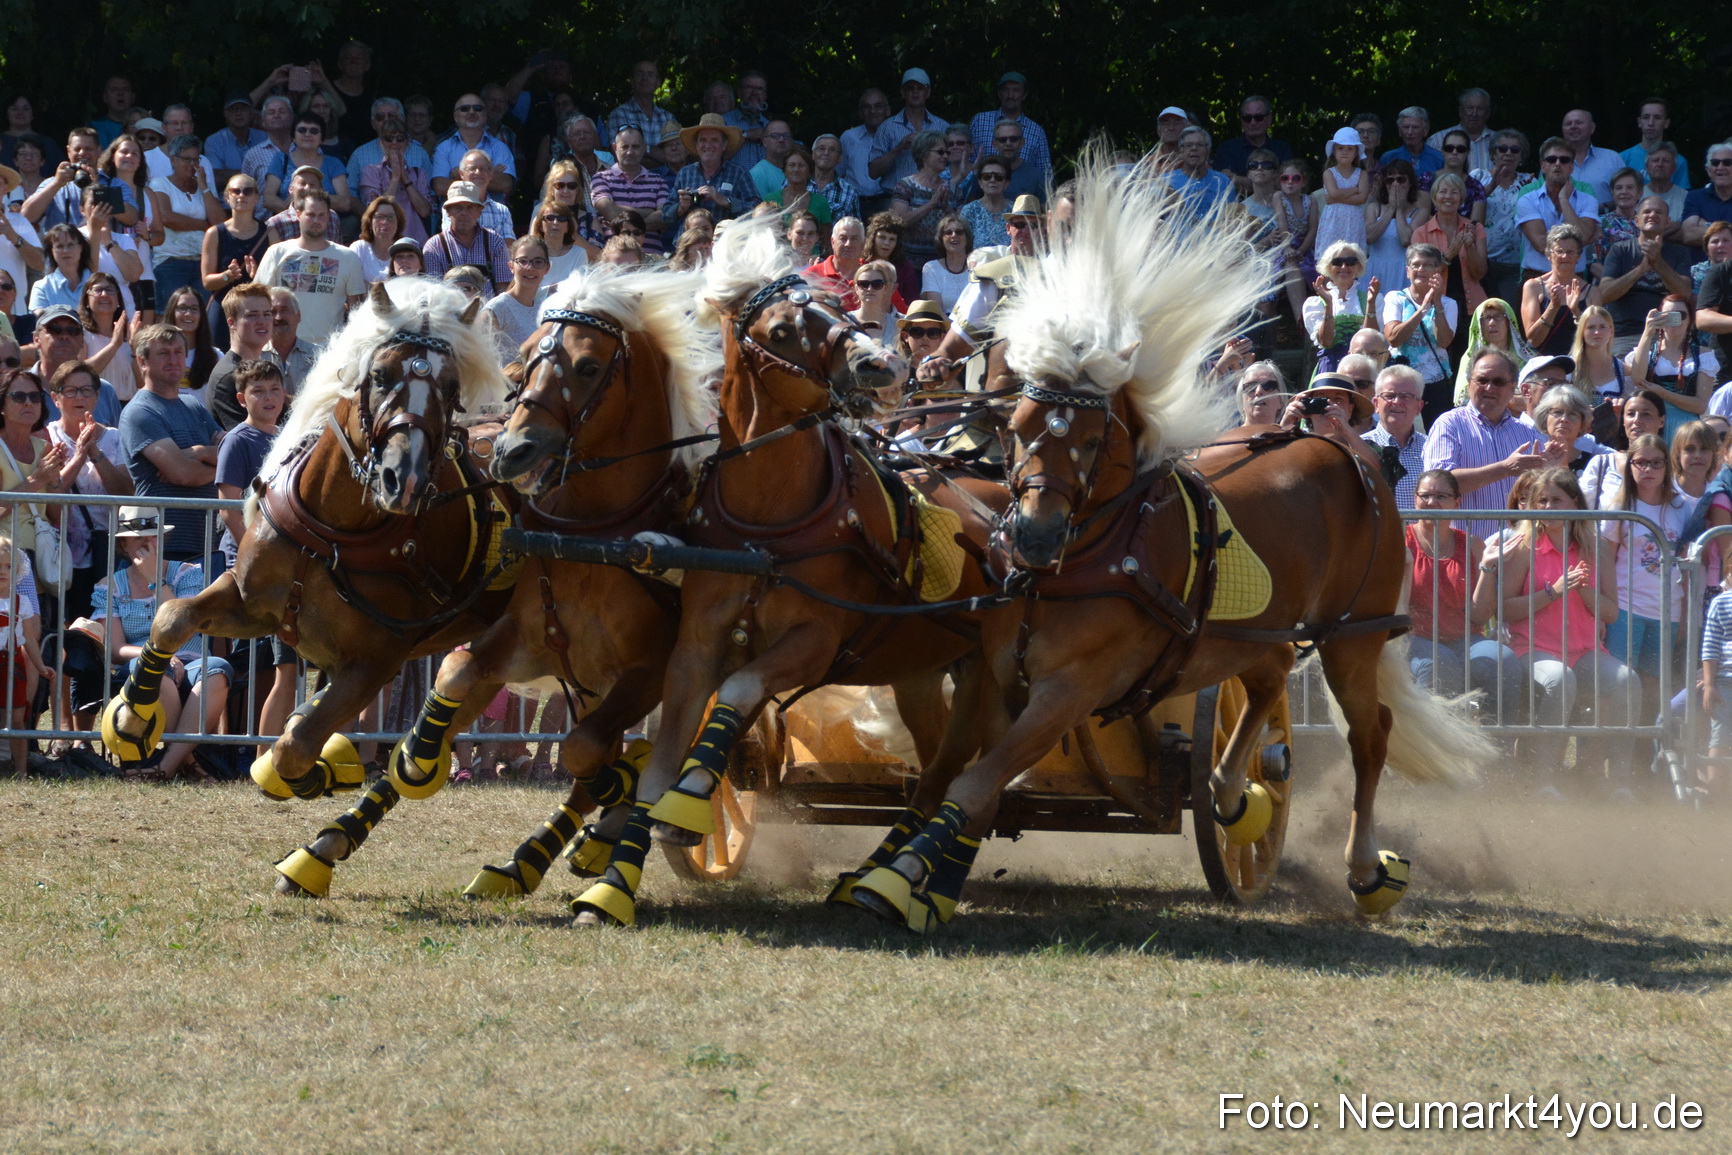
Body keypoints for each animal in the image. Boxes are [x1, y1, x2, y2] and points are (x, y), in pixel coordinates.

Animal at [101, 280, 516, 883]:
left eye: (450, 387)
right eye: (381, 375)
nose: (404, 479)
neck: (337, 530)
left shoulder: (375, 661)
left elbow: (295, 743)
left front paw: (322, 771)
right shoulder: (251, 604)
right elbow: (173, 615)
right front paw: (131, 721)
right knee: (421, 756)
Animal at [335, 266, 722, 901]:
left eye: (587, 366)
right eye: (521, 363)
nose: (510, 450)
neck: (594, 539)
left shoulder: (650, 671)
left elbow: (587, 749)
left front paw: (619, 800)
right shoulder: (523, 643)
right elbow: (455, 673)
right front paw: (420, 755)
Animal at [568, 216, 1017, 928]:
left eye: (838, 308)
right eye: (781, 330)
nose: (884, 363)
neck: (766, 524)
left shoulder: (812, 643)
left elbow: (741, 691)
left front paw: (688, 801)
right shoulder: (697, 644)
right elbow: (664, 757)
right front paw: (613, 879)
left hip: (996, 672)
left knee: (980, 779)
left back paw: (923, 888)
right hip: (923, 669)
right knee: (938, 771)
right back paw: (875, 877)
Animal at [846, 152, 1496, 932]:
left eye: (1091, 439)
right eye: (1020, 427)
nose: (1034, 534)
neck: (1081, 561)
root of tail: (1343, 443)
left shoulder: (1071, 690)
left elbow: (974, 782)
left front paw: (897, 879)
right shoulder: (1000, 678)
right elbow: (962, 778)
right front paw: (918, 876)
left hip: (1354, 634)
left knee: (1370, 736)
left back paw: (1366, 869)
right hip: (1253, 631)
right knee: (1270, 679)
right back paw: (1231, 793)